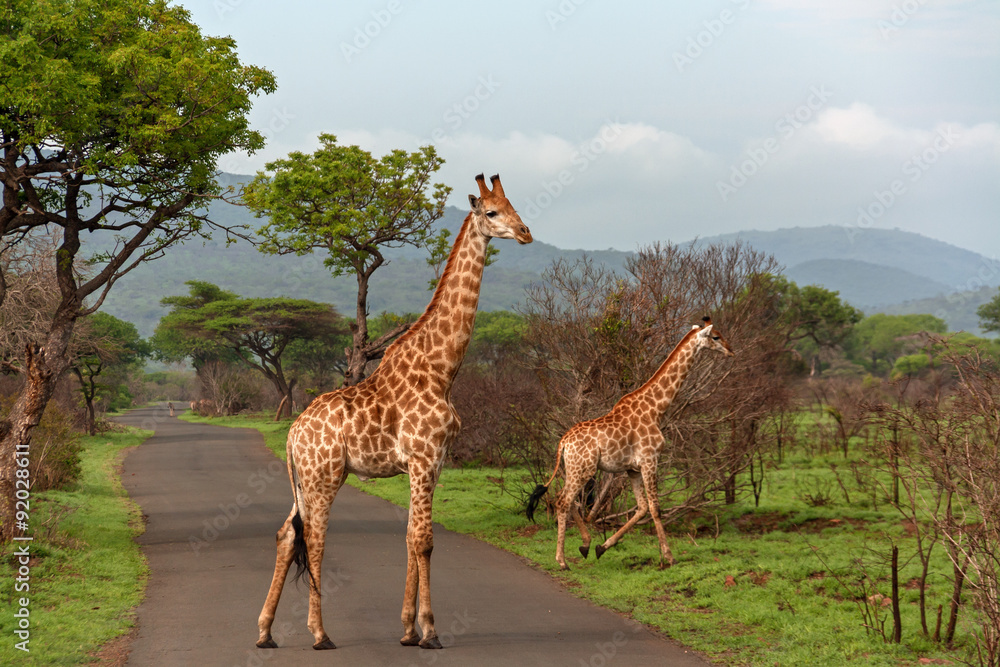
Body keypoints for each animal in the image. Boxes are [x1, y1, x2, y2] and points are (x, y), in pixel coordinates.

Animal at [255, 174, 532, 650]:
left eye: (515, 205)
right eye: (492, 212)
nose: (525, 233)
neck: (442, 369)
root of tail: (292, 433)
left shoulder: (435, 463)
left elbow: (409, 537)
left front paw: (406, 630)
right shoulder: (423, 458)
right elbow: (423, 540)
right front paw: (431, 631)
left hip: (308, 478)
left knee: (287, 533)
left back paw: (265, 631)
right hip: (324, 477)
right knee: (315, 537)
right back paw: (319, 633)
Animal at [526, 317, 734, 570]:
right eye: (716, 337)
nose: (731, 350)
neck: (656, 409)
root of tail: (563, 442)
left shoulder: (632, 469)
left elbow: (642, 507)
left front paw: (602, 547)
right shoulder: (650, 460)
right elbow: (654, 507)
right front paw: (669, 557)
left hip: (575, 469)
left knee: (567, 500)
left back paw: (585, 545)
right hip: (583, 469)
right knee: (563, 501)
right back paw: (562, 560)